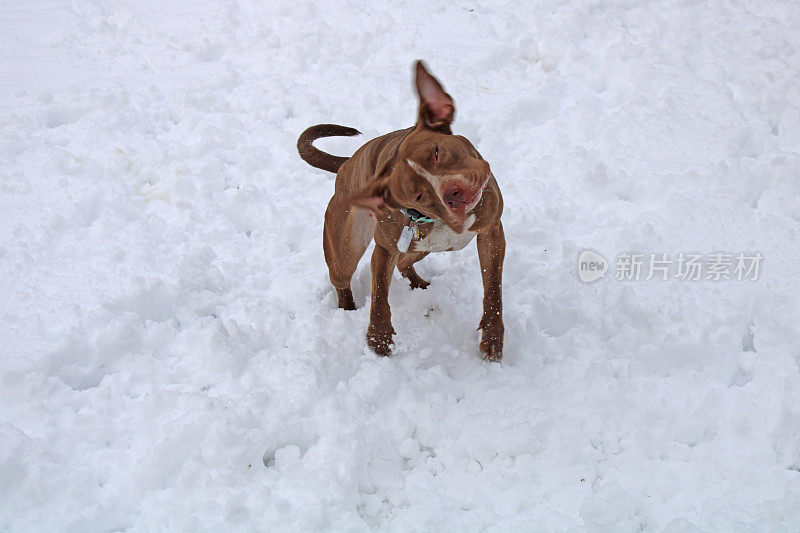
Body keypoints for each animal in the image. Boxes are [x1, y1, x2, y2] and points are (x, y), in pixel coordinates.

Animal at [296, 61, 504, 362]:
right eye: (418, 194)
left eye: (438, 151)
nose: (452, 193)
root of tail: (346, 164)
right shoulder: (383, 249)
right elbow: (379, 296)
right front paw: (378, 339)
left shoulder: (492, 233)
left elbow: (493, 290)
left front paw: (492, 338)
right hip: (345, 248)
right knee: (342, 278)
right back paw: (348, 310)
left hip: (421, 247)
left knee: (405, 262)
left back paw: (419, 284)